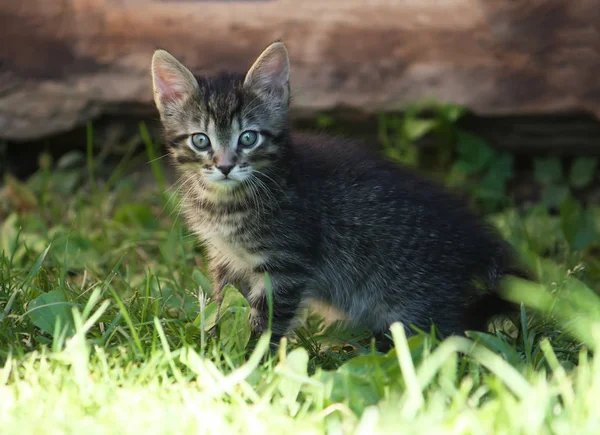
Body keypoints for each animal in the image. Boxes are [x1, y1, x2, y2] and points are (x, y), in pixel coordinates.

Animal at [152, 42, 524, 346]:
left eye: (248, 138)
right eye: (201, 140)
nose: (225, 166)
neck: (227, 203)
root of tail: (476, 238)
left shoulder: (287, 264)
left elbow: (266, 320)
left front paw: (252, 363)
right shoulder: (225, 258)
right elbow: (223, 305)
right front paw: (215, 347)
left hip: (415, 302)